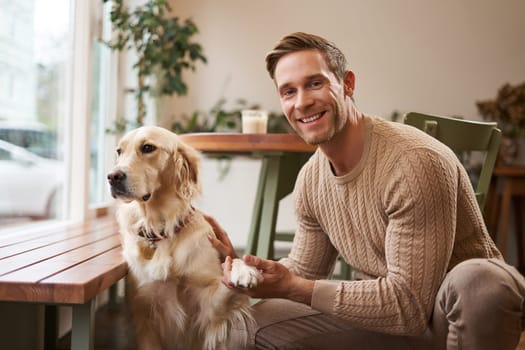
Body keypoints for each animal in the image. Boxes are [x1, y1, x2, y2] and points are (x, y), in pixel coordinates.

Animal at [107, 126, 262, 350]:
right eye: (119, 151)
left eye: (148, 148)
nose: (112, 176)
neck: (161, 229)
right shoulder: (145, 315)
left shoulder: (210, 310)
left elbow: (232, 268)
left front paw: (244, 270)